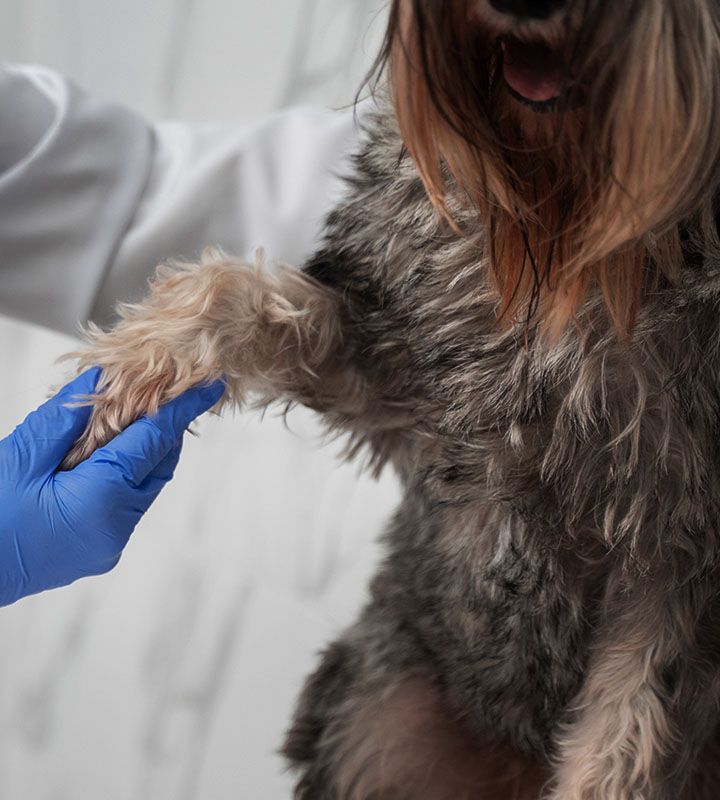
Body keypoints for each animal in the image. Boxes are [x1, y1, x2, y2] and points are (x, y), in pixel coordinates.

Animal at [63, 0, 720, 796]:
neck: (569, 232)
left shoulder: (677, 554)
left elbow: (625, 738)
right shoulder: (396, 370)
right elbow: (243, 294)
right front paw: (122, 388)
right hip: (374, 719)